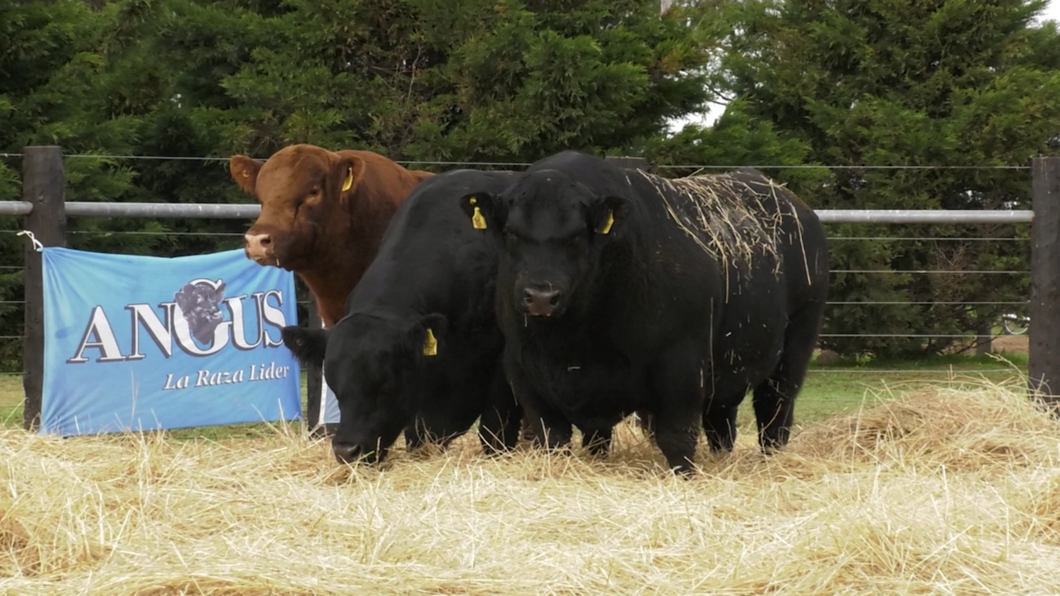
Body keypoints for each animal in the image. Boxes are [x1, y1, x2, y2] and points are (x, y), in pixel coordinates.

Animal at [462, 151, 826, 472]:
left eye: (577, 235)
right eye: (511, 232)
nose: (540, 296)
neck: (571, 343)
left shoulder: (681, 368)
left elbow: (677, 439)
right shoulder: (526, 374)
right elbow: (556, 438)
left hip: (794, 349)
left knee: (774, 414)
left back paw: (771, 461)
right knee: (722, 423)